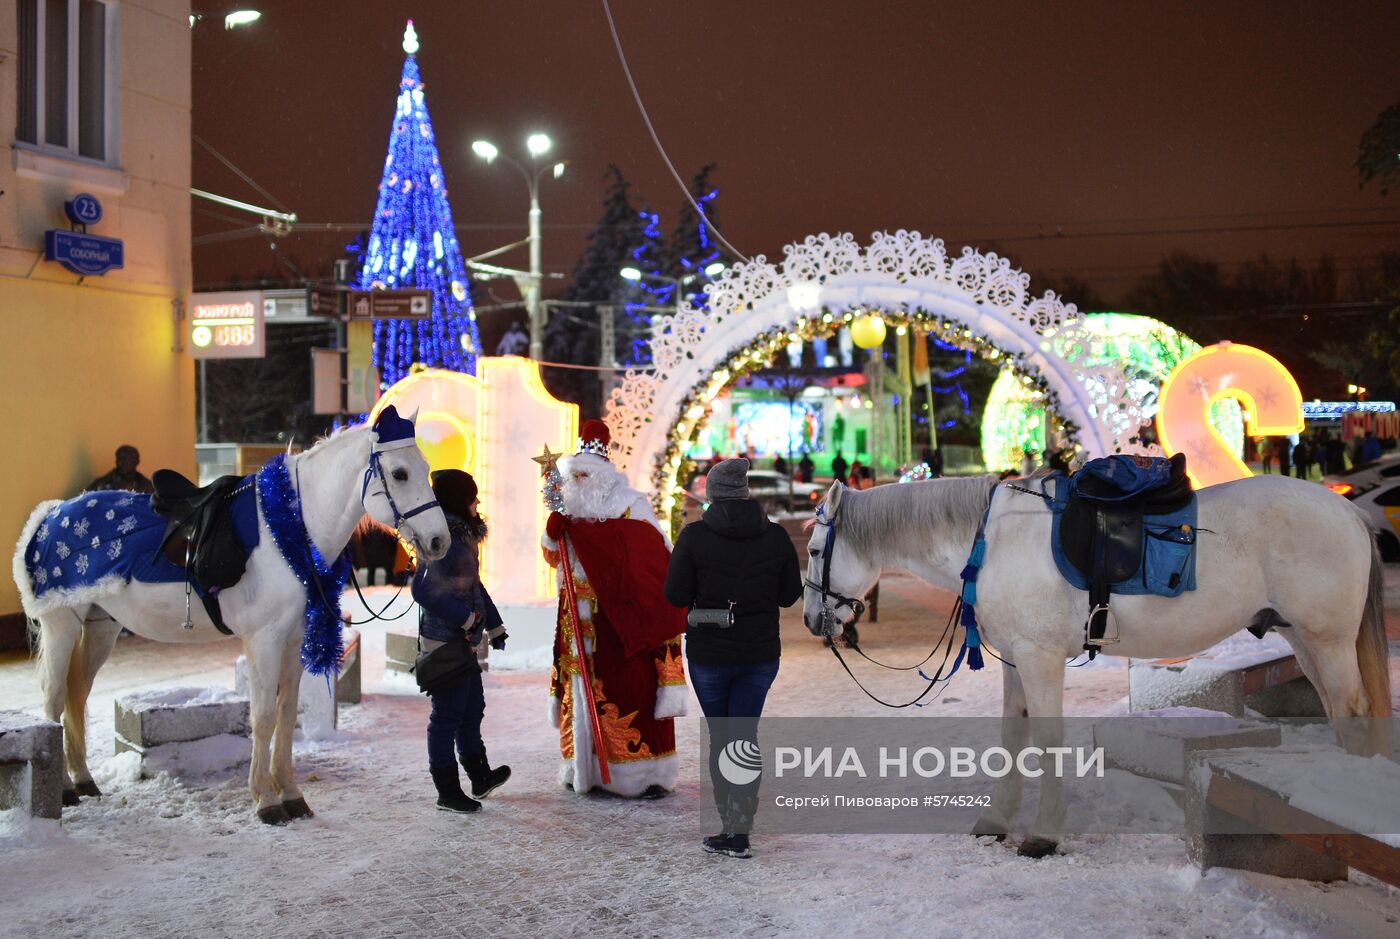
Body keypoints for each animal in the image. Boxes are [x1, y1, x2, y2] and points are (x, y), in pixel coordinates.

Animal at [9, 408, 448, 828]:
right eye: (400, 473)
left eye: (425, 467)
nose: (439, 541)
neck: (288, 533)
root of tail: (49, 515)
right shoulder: (263, 640)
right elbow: (264, 717)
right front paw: (266, 801)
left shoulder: (293, 640)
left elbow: (287, 715)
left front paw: (292, 795)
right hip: (61, 623)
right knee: (54, 698)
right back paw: (65, 789)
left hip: (102, 625)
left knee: (77, 693)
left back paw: (84, 780)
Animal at [806, 470, 1394, 862]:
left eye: (814, 550)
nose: (813, 619)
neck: (990, 544)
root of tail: (1349, 512)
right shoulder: (1016, 660)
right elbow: (1012, 737)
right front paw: (995, 820)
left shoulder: (1040, 658)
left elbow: (1046, 740)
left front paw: (1044, 834)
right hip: (1305, 640)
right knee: (1339, 712)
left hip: (1327, 640)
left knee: (1351, 711)